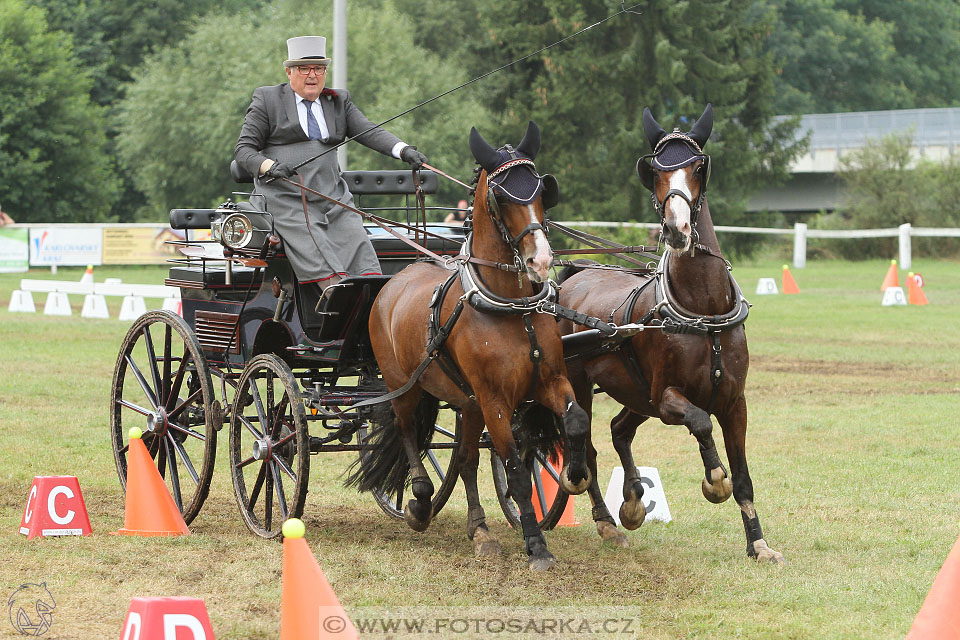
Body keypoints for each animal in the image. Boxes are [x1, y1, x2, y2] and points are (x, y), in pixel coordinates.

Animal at [352, 121, 592, 568]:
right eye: (502, 195)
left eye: (541, 190)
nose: (541, 261)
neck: (511, 309)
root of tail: (395, 280)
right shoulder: (495, 398)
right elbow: (515, 468)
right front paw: (537, 546)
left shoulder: (549, 380)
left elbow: (576, 421)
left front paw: (575, 474)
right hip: (405, 385)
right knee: (409, 432)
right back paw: (420, 502)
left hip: (467, 402)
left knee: (465, 458)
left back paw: (479, 530)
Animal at [560, 106, 784, 564]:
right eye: (656, 171)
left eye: (698, 167)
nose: (676, 228)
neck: (705, 312)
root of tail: (574, 275)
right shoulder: (667, 399)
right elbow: (701, 423)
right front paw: (714, 480)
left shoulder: (734, 402)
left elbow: (744, 475)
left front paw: (758, 544)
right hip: (582, 383)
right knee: (584, 444)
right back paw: (605, 519)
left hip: (635, 392)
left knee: (619, 429)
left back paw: (631, 502)